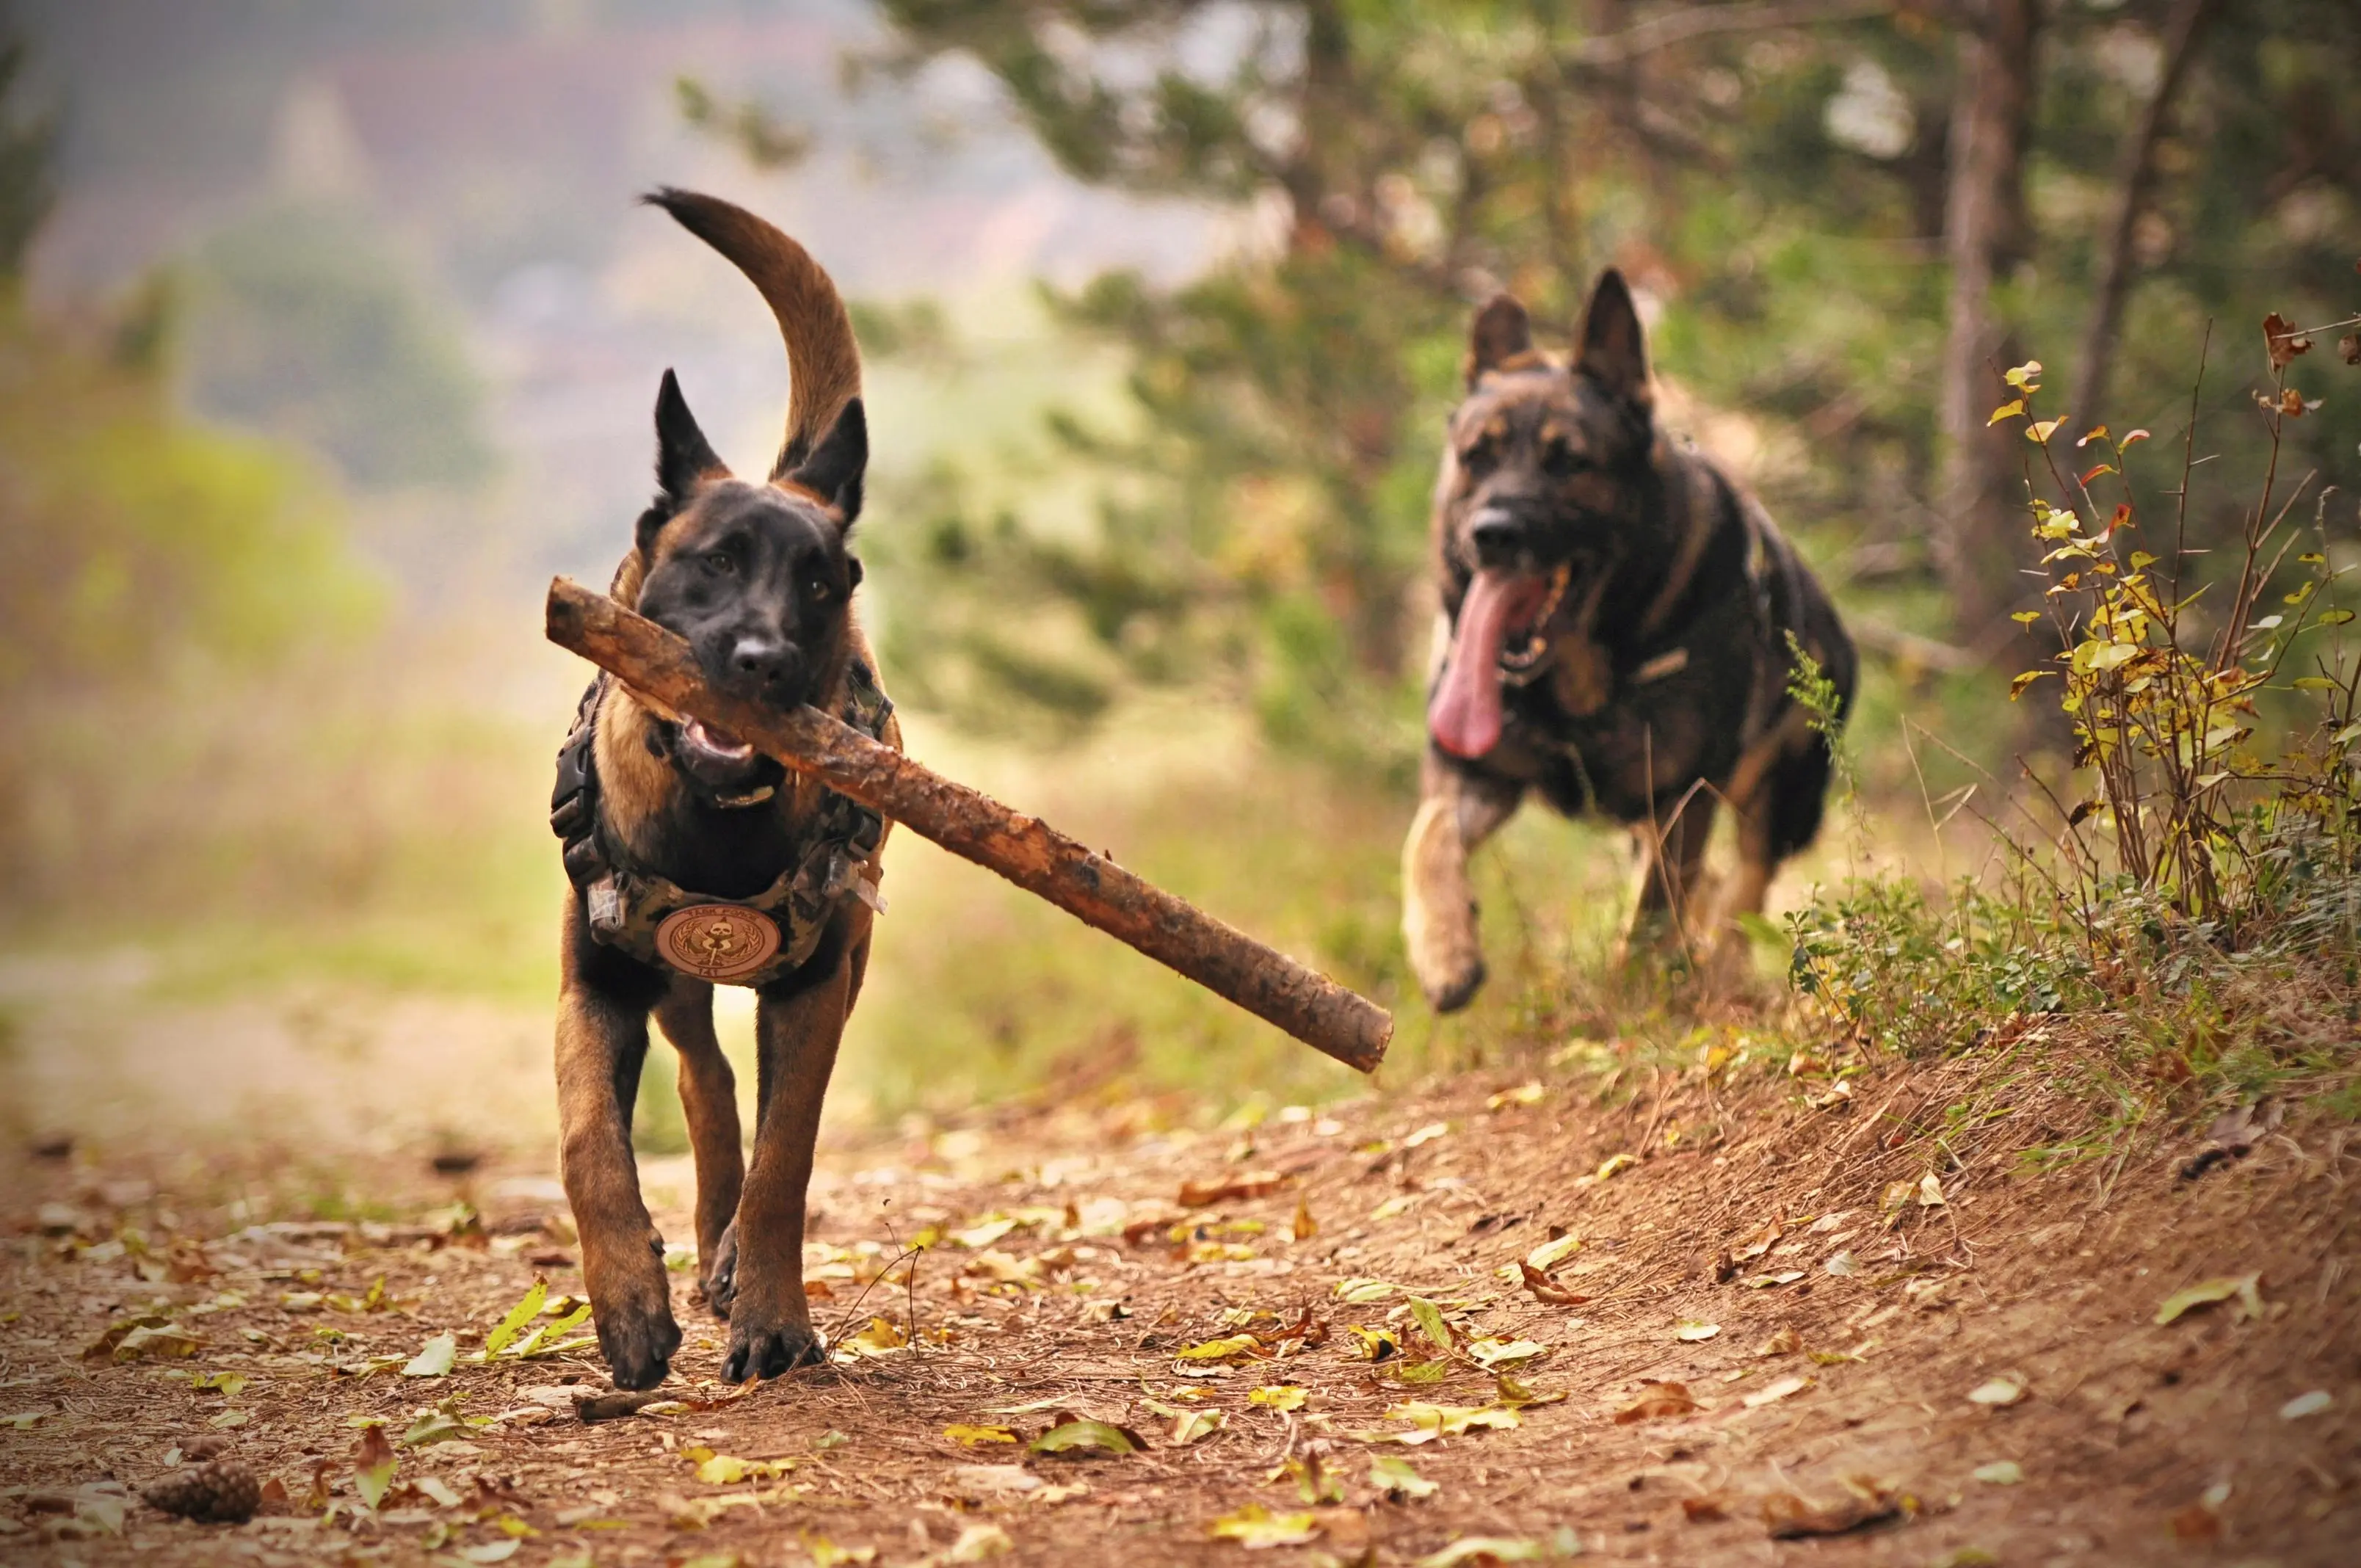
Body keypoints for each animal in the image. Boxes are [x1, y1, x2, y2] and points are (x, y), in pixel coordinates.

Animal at [550, 192, 892, 1388]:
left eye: (821, 582)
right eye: (715, 562)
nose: (764, 663)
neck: (715, 823)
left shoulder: (816, 988)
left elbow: (788, 1159)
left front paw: (775, 1317)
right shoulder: (597, 982)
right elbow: (589, 1141)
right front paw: (627, 1305)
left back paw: (735, 1259)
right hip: (669, 984)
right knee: (704, 1081)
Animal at [1388, 269, 1851, 1010]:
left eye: (1568, 462)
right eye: (1476, 458)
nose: (1491, 534)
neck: (1574, 679)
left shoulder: (1682, 798)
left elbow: (1651, 916)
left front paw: (1636, 996)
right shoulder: (1474, 774)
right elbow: (1426, 837)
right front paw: (1444, 949)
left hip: (1781, 798)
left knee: (1744, 887)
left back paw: (1720, 969)